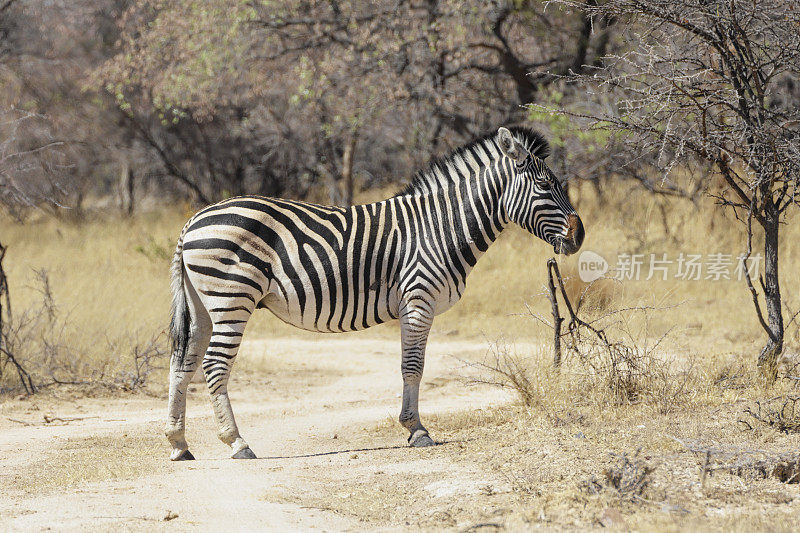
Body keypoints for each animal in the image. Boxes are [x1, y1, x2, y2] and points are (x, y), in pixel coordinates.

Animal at [166, 127, 584, 460]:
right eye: (545, 186)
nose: (579, 236)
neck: (441, 227)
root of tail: (192, 221)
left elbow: (413, 367)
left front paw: (414, 427)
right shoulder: (418, 299)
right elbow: (412, 367)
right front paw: (417, 431)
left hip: (203, 305)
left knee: (182, 363)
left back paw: (178, 443)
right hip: (231, 299)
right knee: (214, 365)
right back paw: (237, 442)